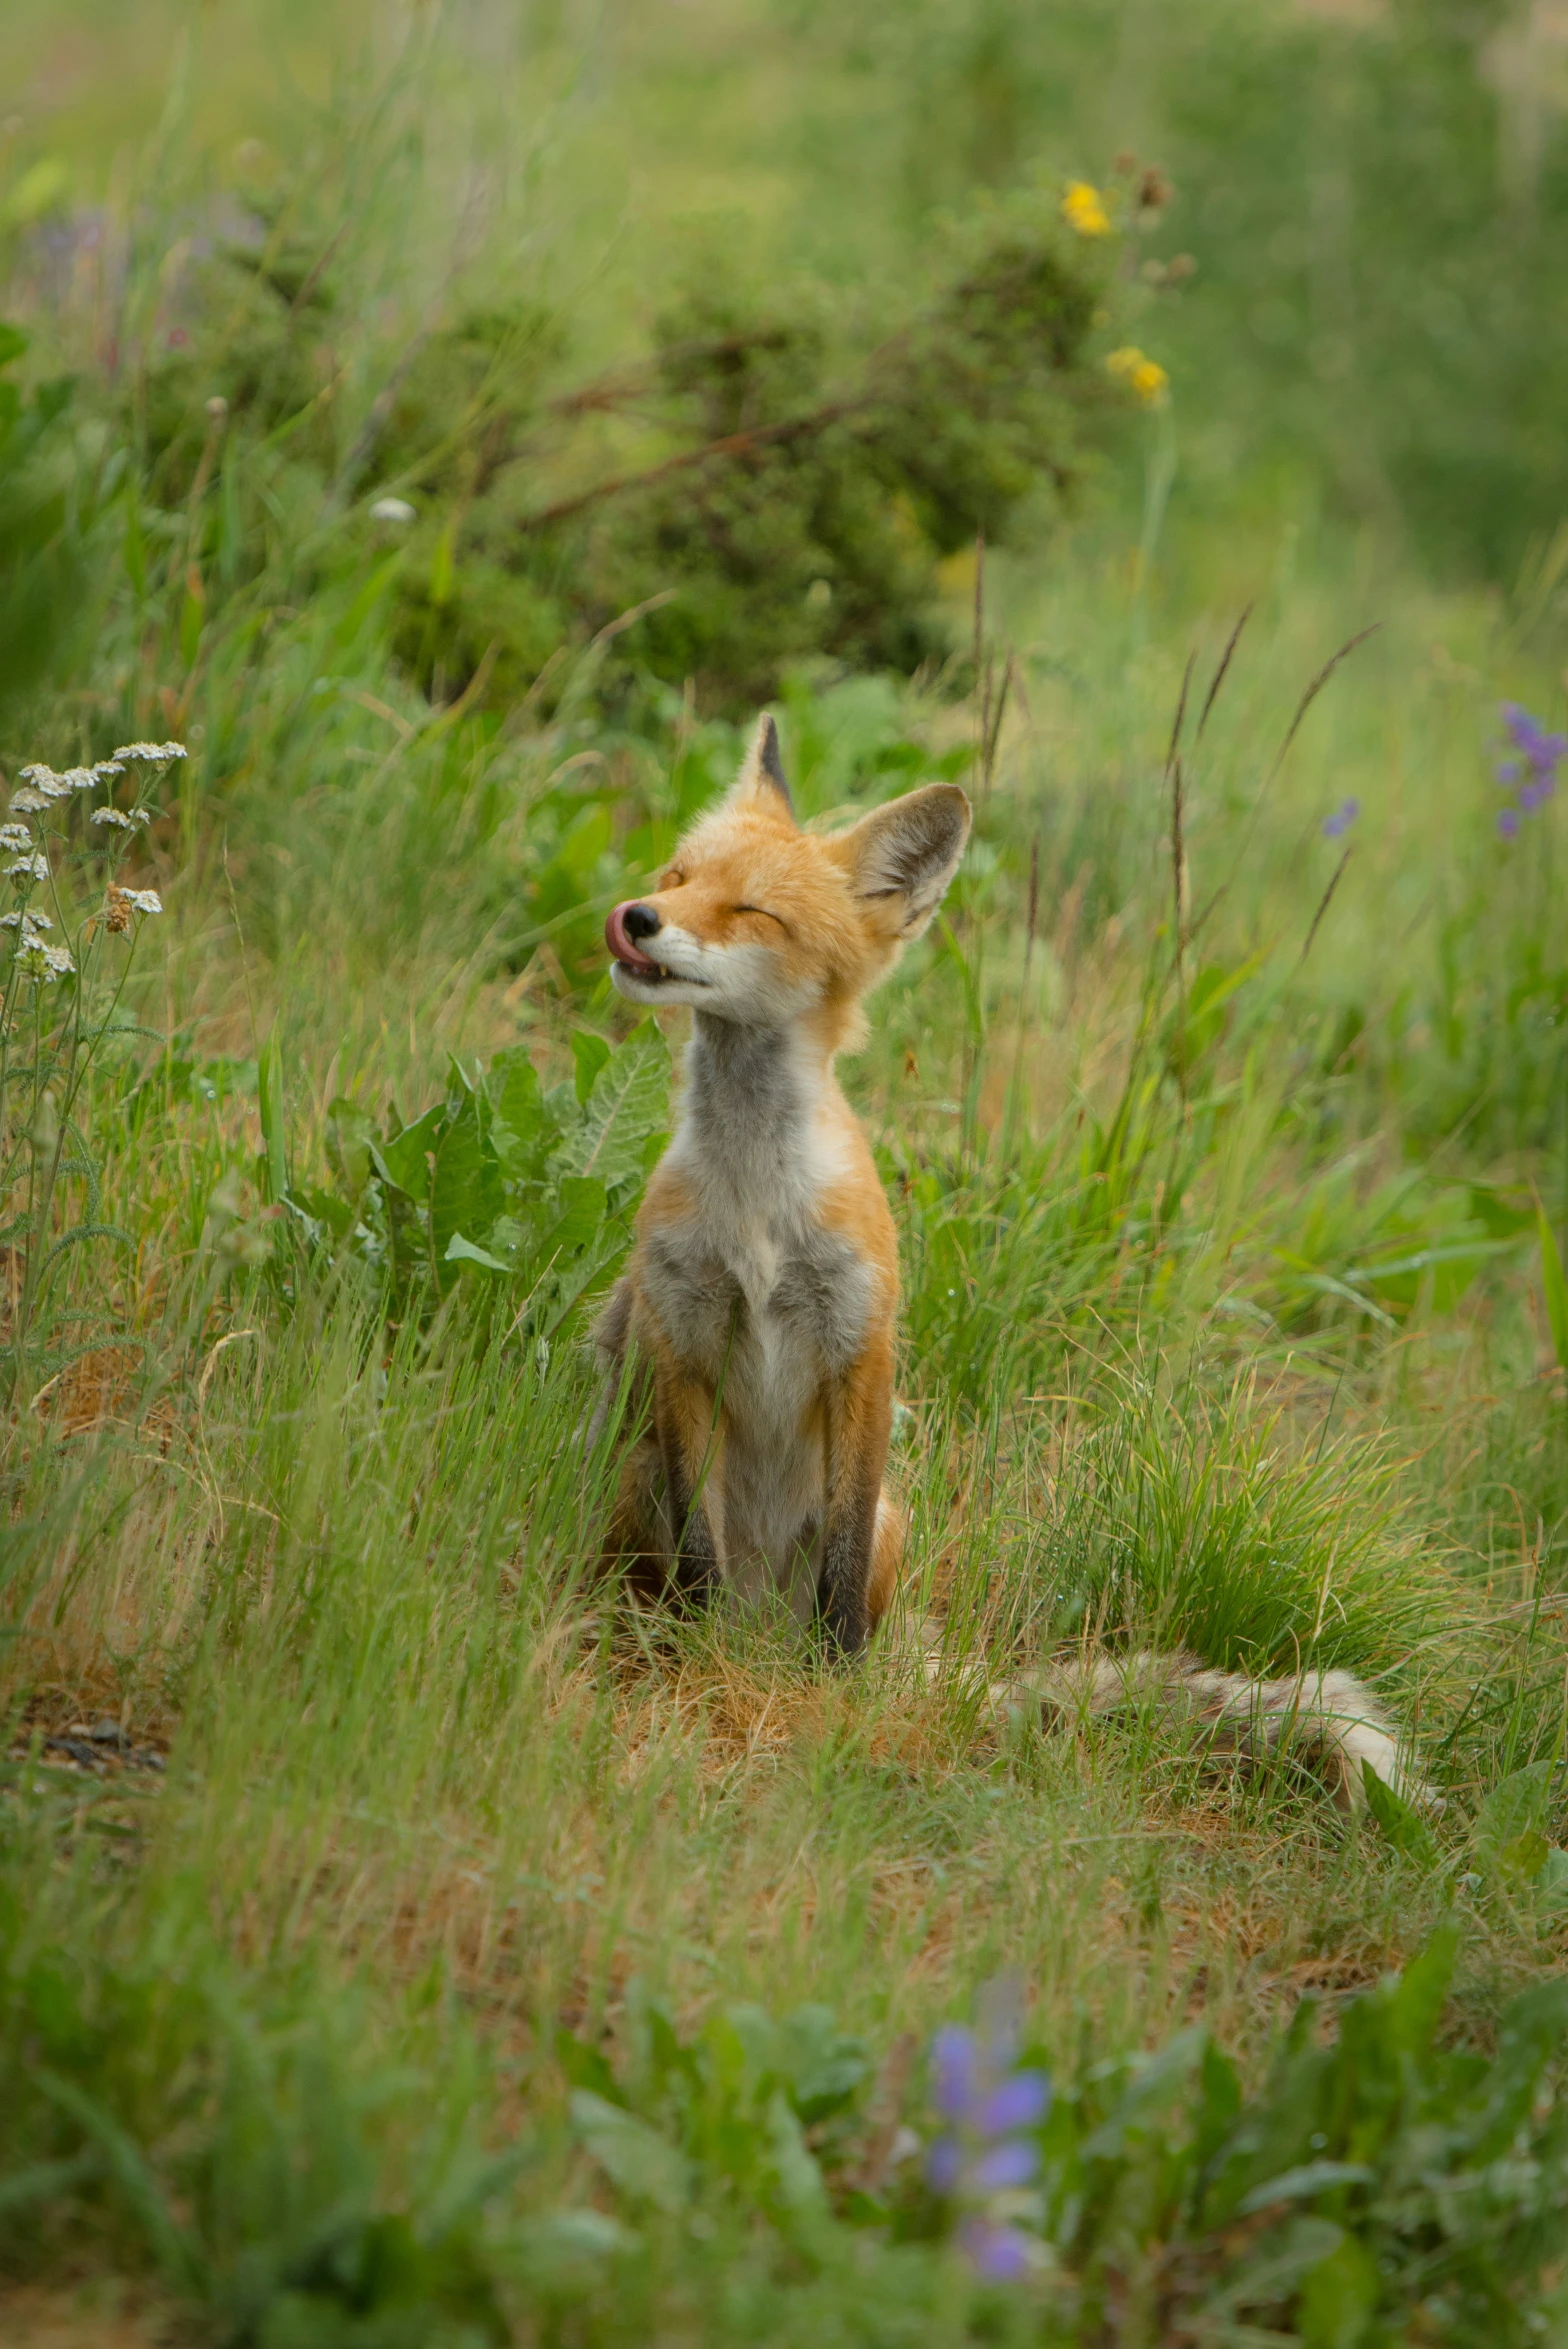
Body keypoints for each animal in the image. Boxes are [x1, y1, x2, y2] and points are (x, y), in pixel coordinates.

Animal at [591, 714, 1436, 1813]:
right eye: (678, 873)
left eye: (752, 911)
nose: (636, 916)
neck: (756, 1211)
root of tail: (760, 1630)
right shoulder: (682, 1338)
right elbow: (699, 1553)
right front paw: (700, 1672)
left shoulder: (861, 1351)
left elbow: (840, 1588)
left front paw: (836, 1703)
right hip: (633, 1477)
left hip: (891, 1522)